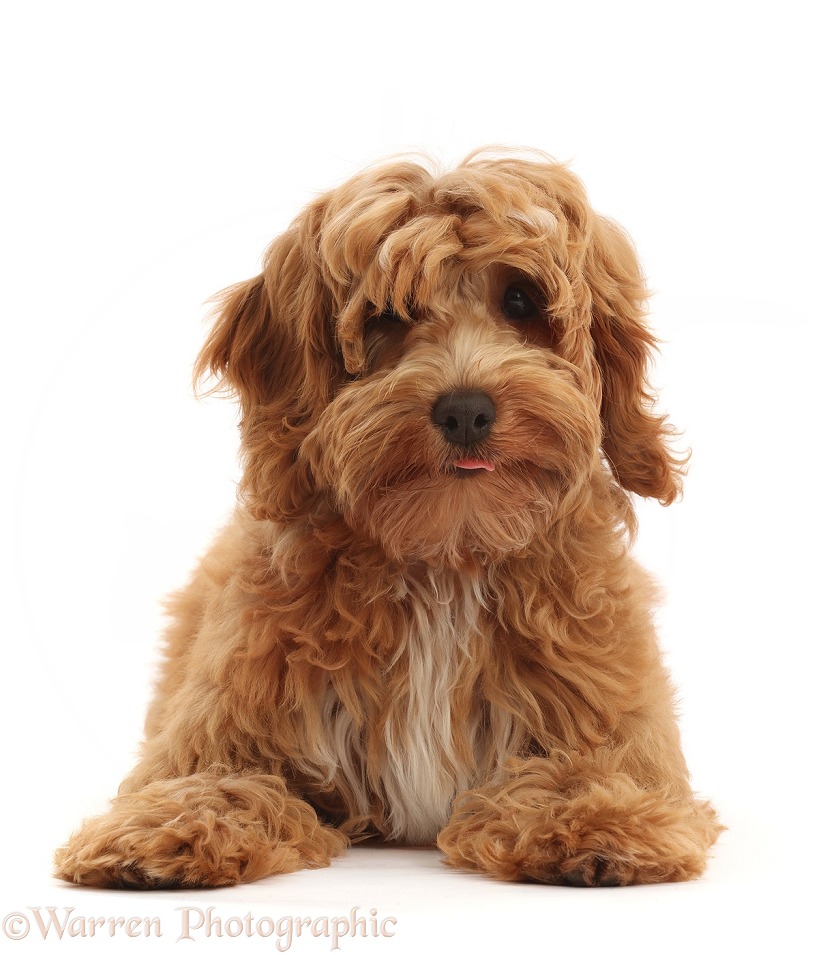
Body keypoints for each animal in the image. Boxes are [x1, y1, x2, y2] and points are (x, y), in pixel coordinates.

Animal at [53, 148, 720, 888]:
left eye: (520, 300)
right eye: (386, 315)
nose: (466, 410)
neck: (447, 557)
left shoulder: (610, 710)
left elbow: (598, 768)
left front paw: (593, 819)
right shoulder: (230, 710)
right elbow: (209, 775)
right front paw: (164, 827)